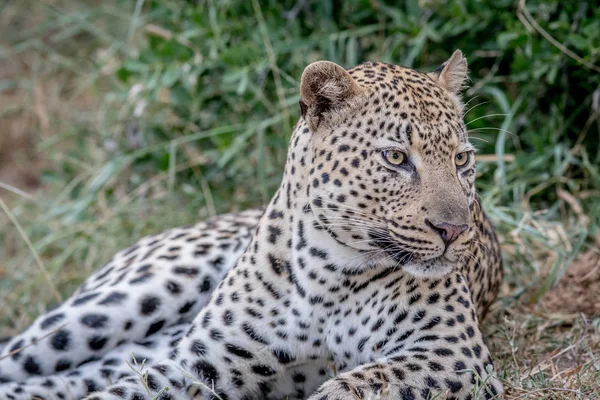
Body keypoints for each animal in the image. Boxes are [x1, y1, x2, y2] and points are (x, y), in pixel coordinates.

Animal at [0, 50, 504, 400]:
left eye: (462, 160)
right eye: (396, 158)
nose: (454, 231)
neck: (327, 274)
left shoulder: (453, 353)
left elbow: (357, 383)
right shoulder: (199, 364)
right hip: (126, 298)